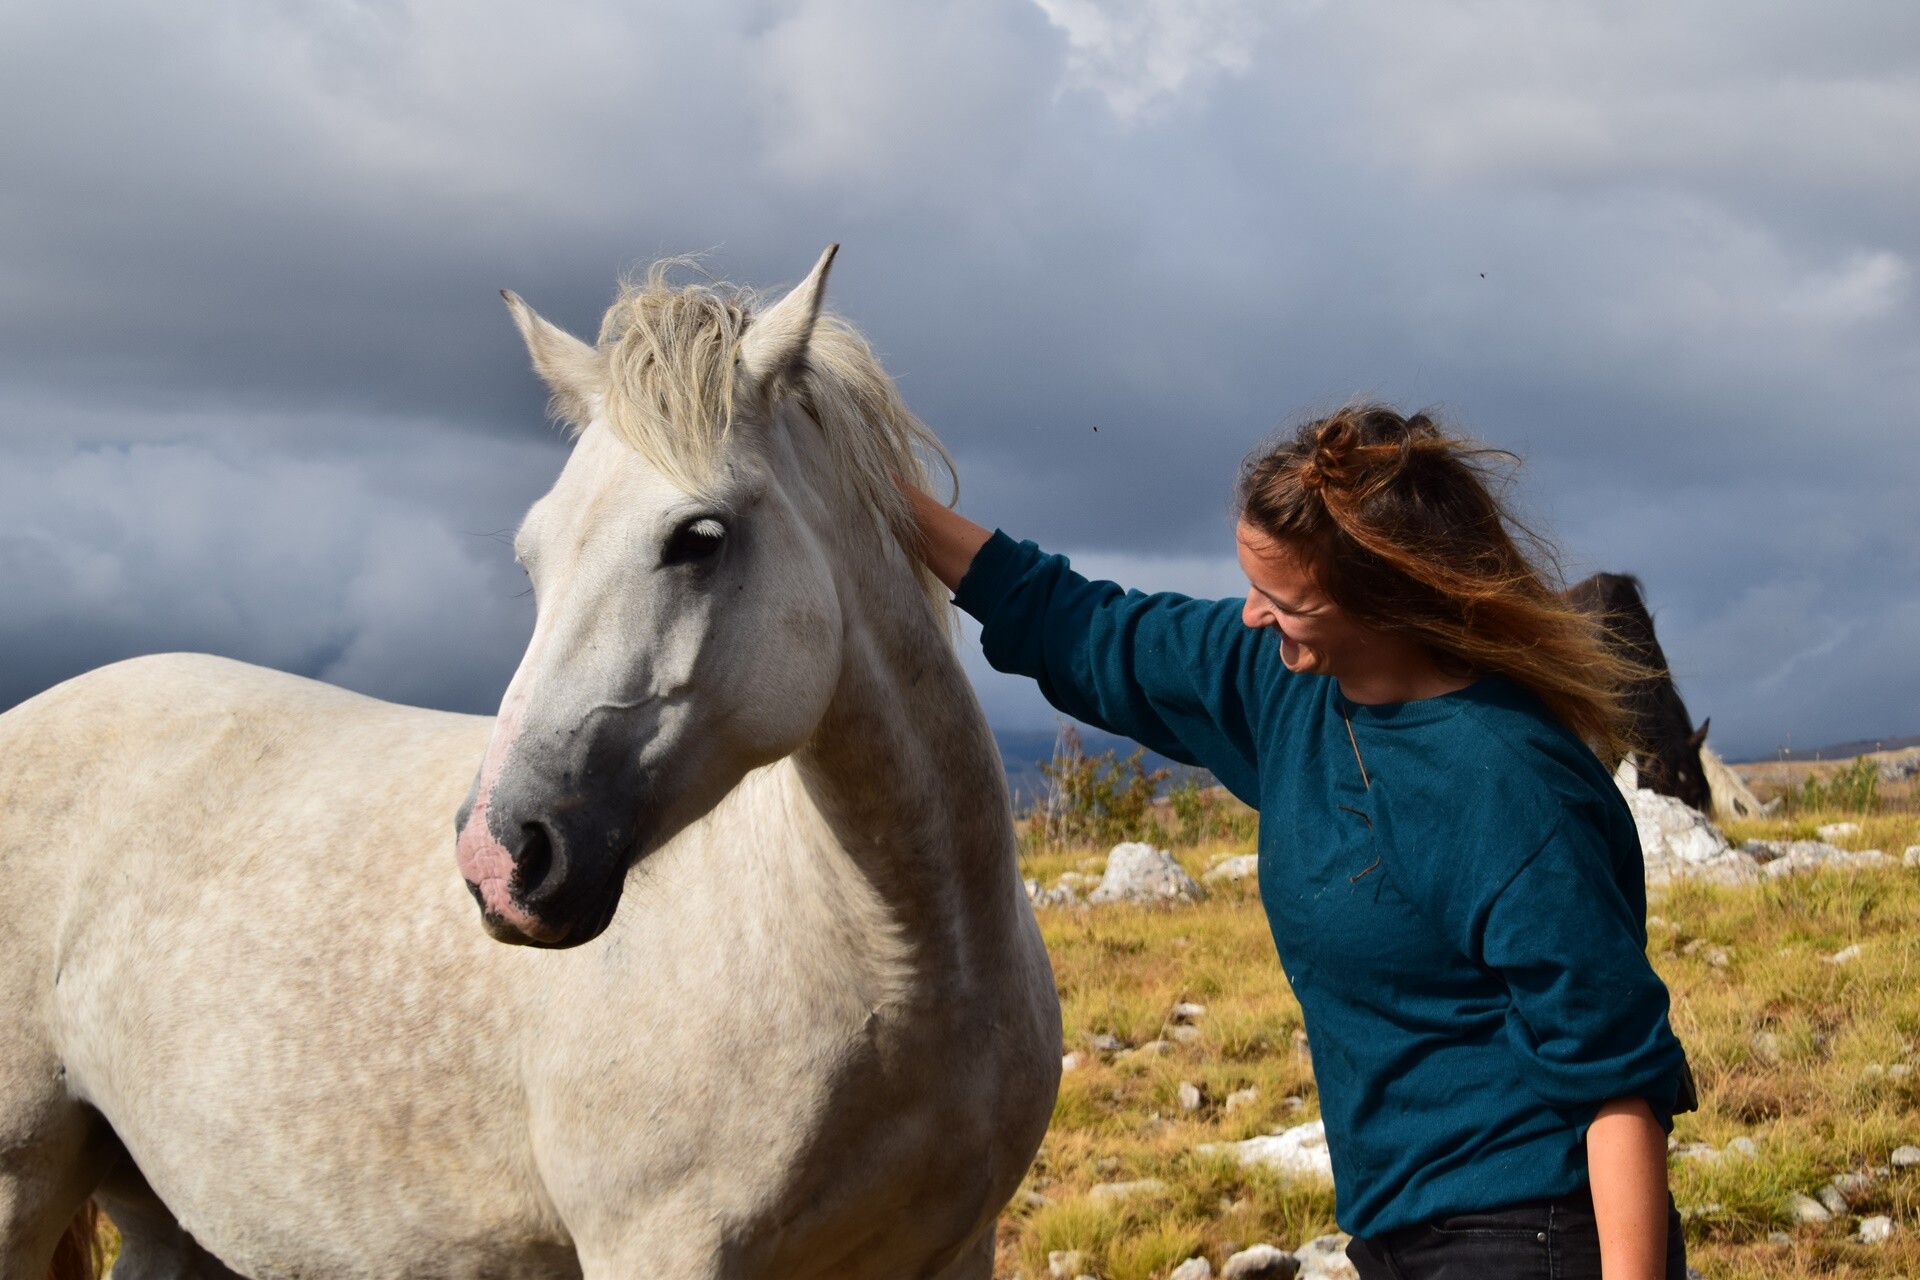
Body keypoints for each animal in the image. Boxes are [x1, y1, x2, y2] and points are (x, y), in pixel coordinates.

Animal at [0, 246, 1062, 1280]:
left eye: (701, 537)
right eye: (531, 557)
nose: (498, 858)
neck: (899, 964)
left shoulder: (957, 1251)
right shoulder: (657, 1248)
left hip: (165, 1213)